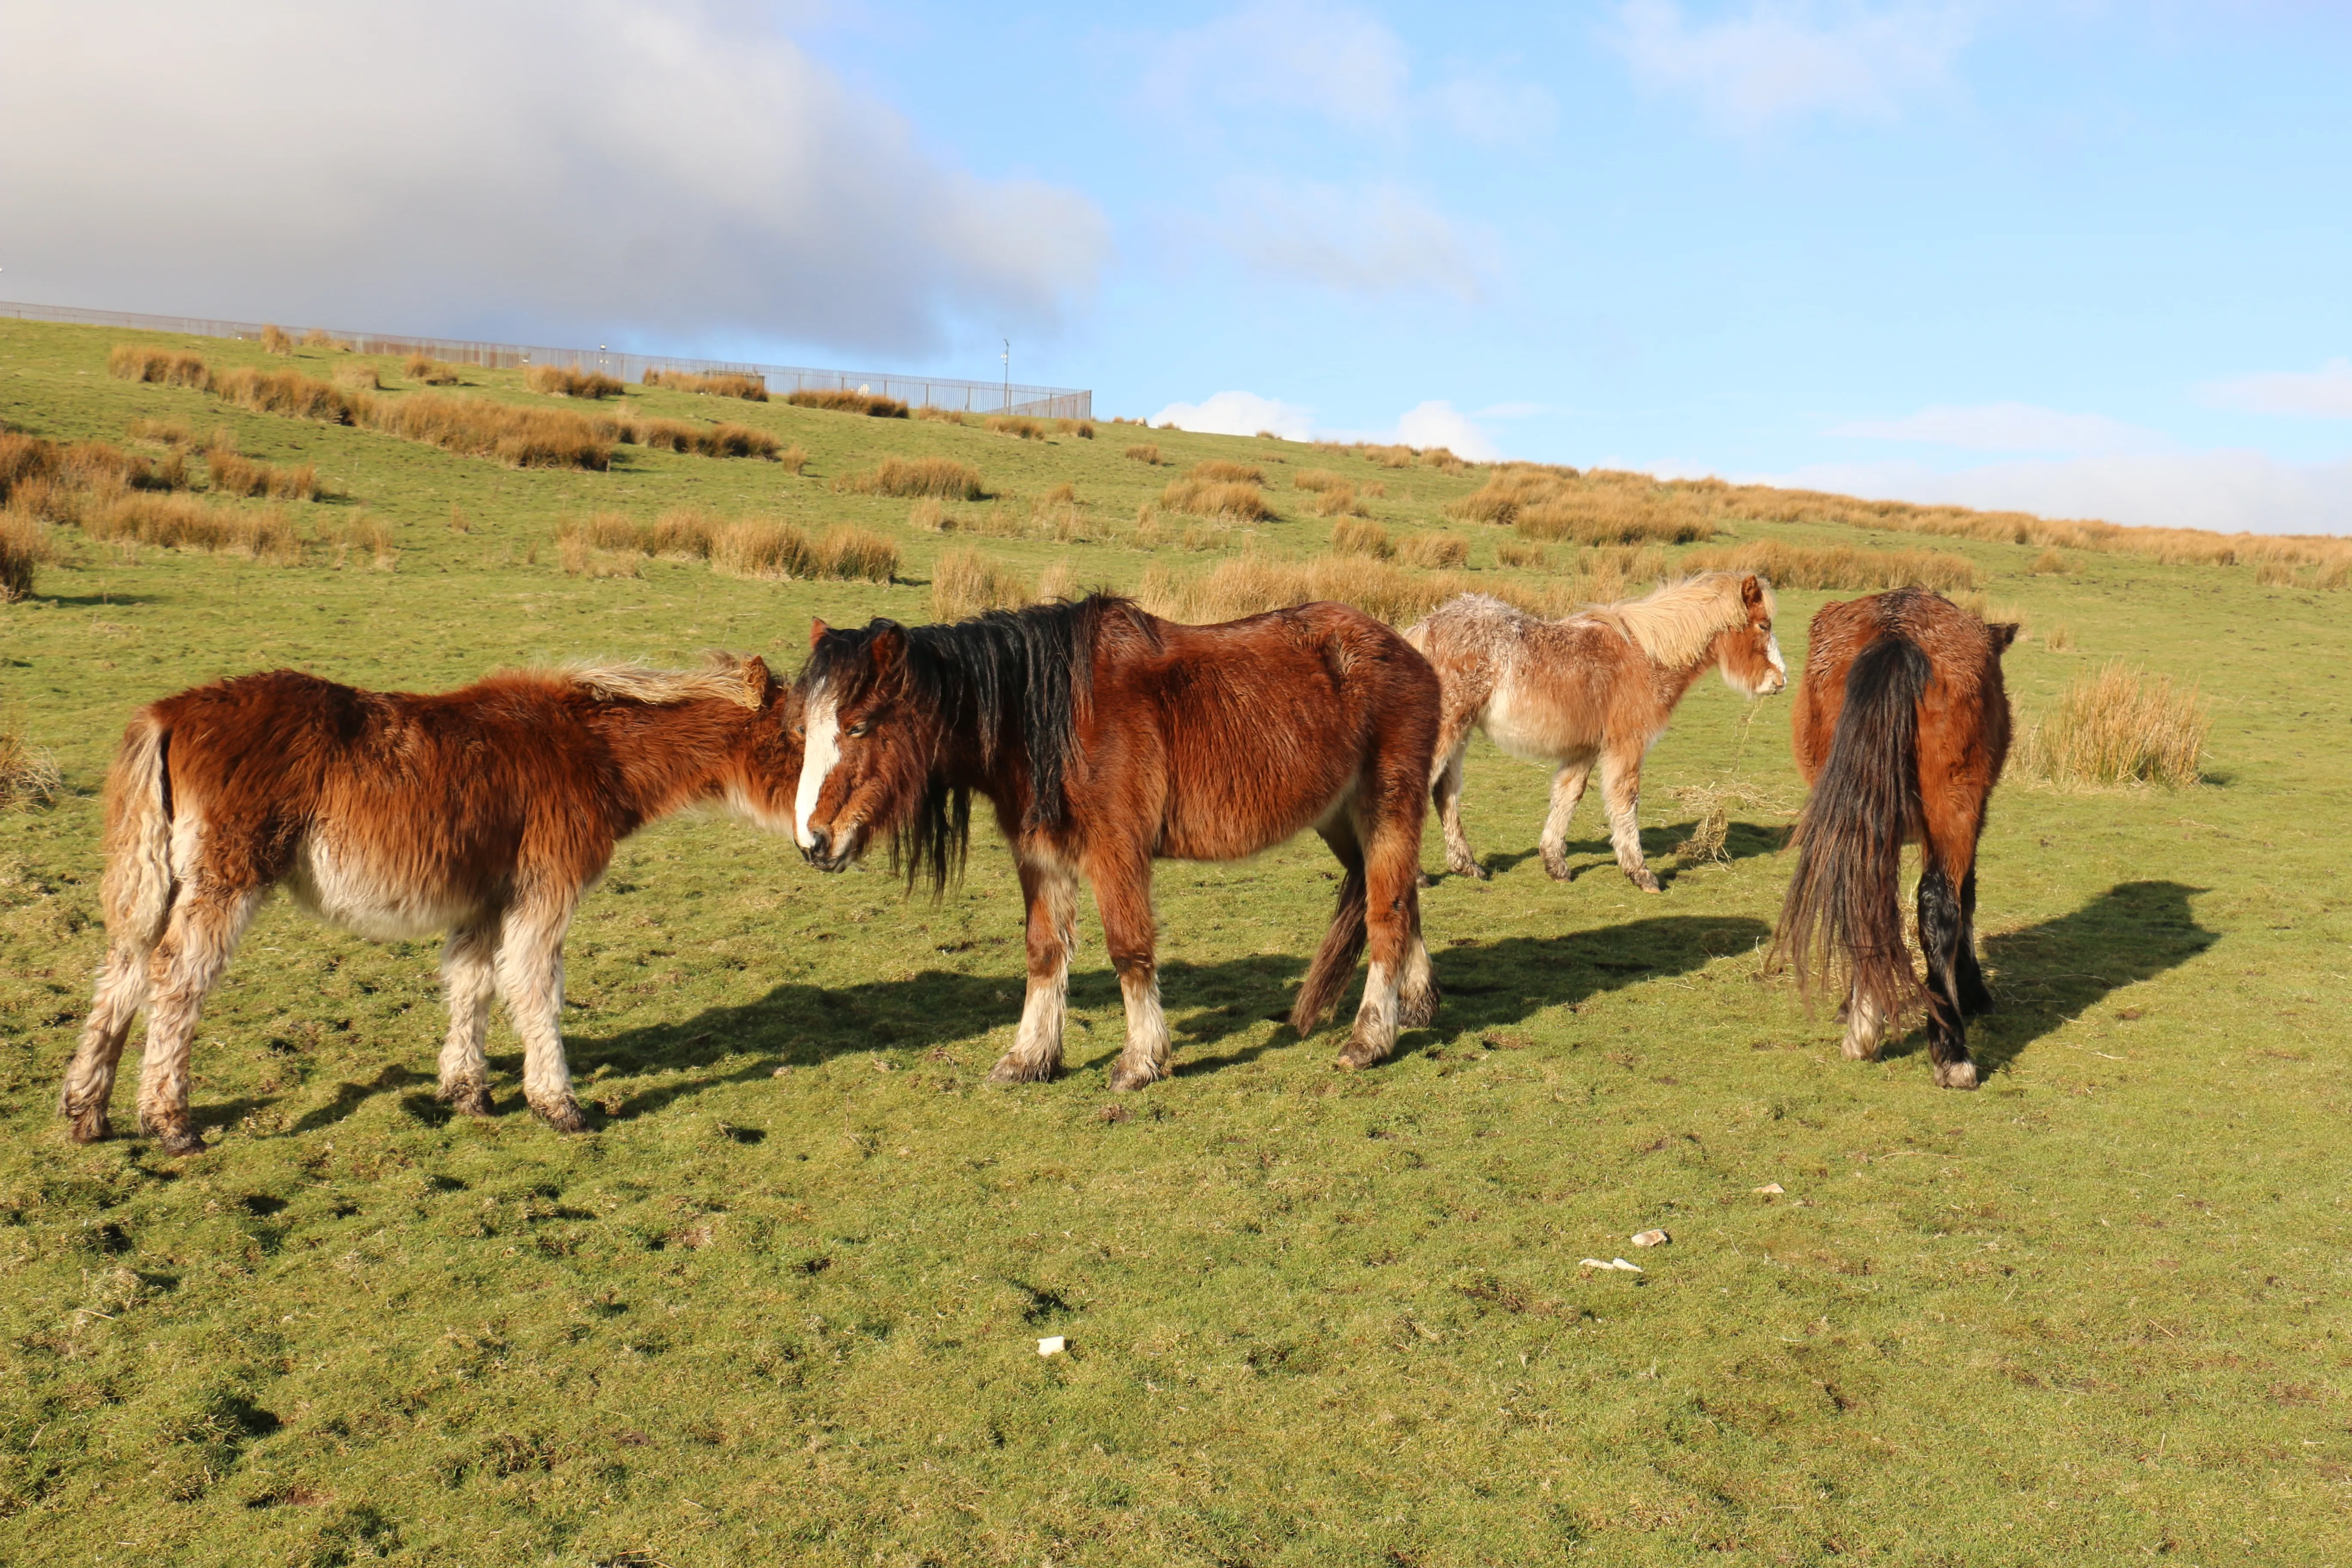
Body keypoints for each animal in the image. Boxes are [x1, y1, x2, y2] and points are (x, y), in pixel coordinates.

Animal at [60, 655, 803, 1153]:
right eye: (797, 736)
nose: (817, 833)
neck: (590, 749)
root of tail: (170, 713)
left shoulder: (487, 900)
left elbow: (472, 985)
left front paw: (467, 1092)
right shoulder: (543, 894)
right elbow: (536, 991)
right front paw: (558, 1106)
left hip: (162, 881)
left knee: (124, 970)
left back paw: (87, 1114)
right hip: (224, 882)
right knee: (175, 981)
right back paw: (170, 1124)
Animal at [790, 594, 1442, 1089]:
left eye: (858, 726)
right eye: (803, 728)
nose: (812, 842)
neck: (1052, 719)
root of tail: (1411, 652)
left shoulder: (1115, 852)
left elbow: (1129, 949)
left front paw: (1141, 1060)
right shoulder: (1041, 856)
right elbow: (1044, 951)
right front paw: (1029, 1058)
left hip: (1387, 807)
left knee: (1387, 914)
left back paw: (1370, 1038)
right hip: (1341, 820)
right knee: (1402, 900)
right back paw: (1416, 1006)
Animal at [1401, 573, 1787, 889]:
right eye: (1763, 626)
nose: (1781, 681)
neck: (1647, 658)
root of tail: (1424, 629)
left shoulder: (1584, 749)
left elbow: (1568, 796)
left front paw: (1555, 864)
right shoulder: (1627, 745)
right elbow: (1625, 801)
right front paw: (1640, 873)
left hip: (1461, 733)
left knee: (1445, 791)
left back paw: (1467, 865)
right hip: (1449, 729)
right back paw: (1419, 876)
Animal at [1774, 587, 2018, 1088]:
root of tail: (1897, 633)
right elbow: (1966, 899)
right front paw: (1974, 991)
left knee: (1865, 898)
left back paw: (1865, 1026)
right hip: (1955, 805)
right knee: (1939, 904)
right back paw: (1951, 1050)